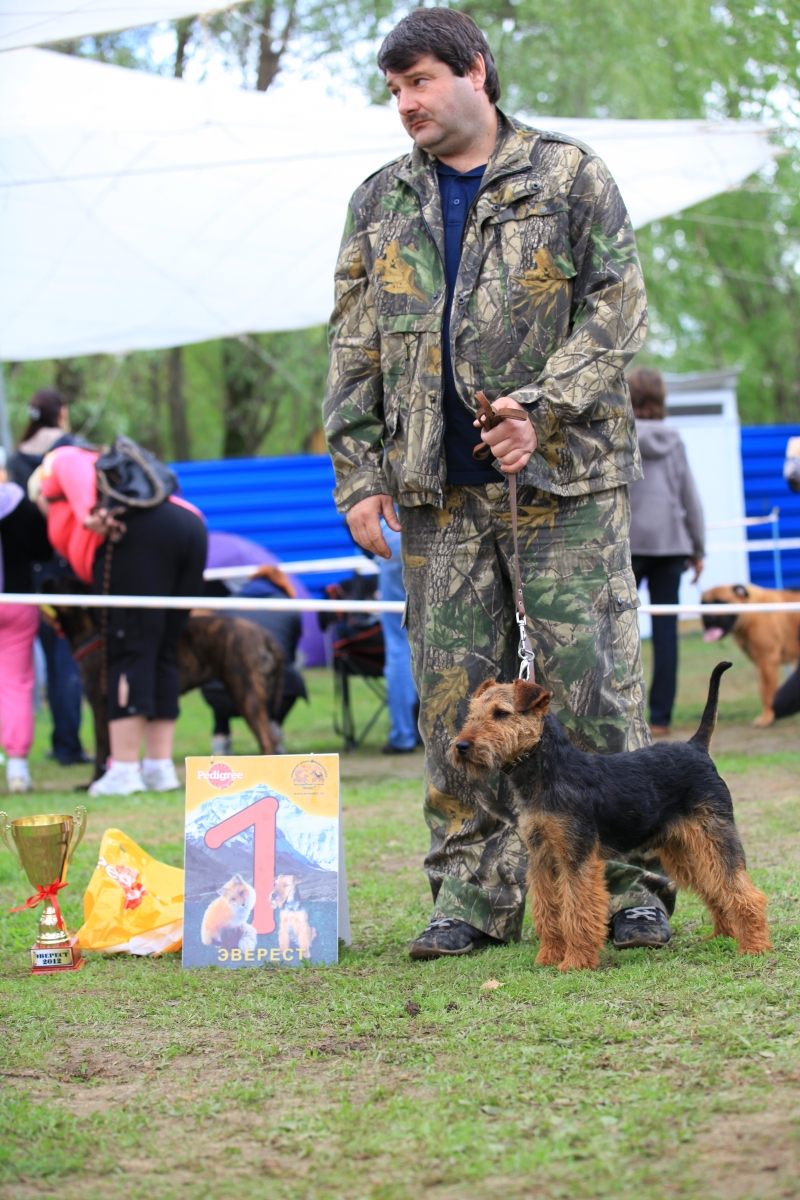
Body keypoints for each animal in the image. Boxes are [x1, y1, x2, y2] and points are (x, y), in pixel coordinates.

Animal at [42, 583, 284, 787]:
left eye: (59, 582)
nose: (42, 579)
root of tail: (264, 635)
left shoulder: (102, 708)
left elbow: (103, 747)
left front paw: (94, 782)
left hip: (245, 693)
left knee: (267, 737)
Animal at [705, 578, 796, 720]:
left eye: (720, 602)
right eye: (703, 602)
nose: (708, 617)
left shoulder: (767, 661)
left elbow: (768, 693)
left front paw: (766, 717)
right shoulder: (759, 663)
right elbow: (763, 691)